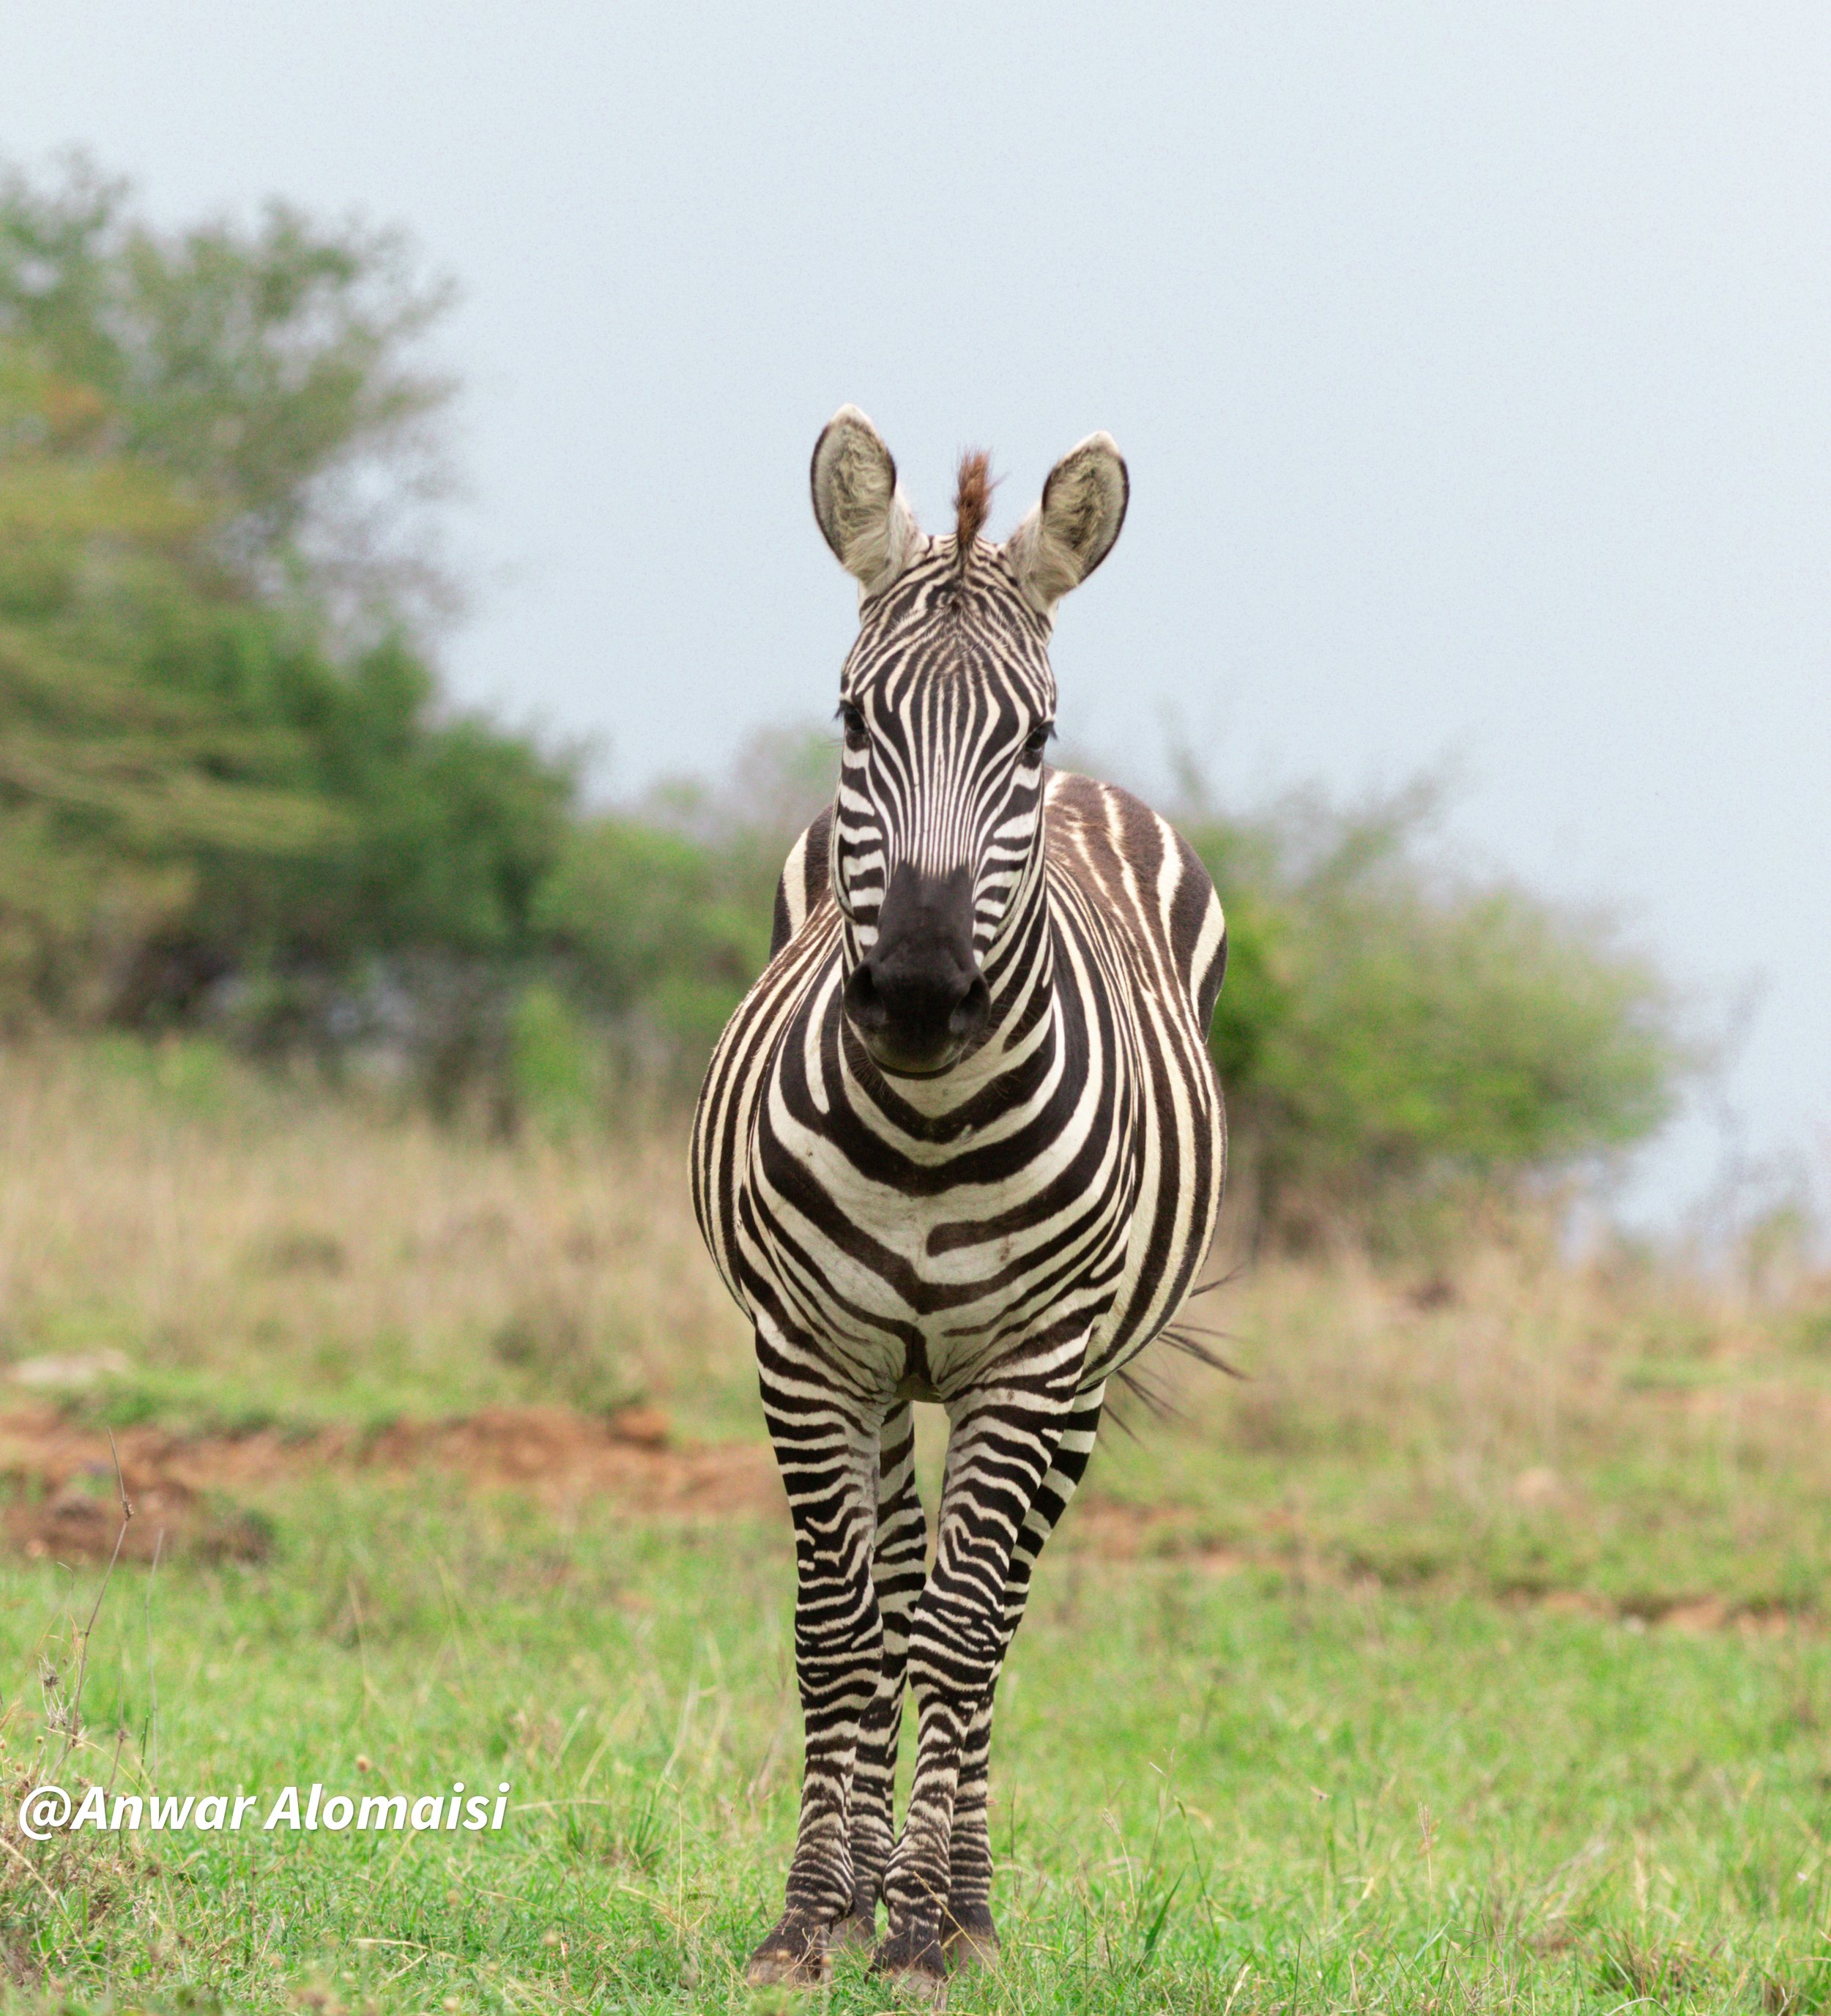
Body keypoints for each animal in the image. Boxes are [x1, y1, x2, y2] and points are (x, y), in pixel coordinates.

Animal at [691, 406, 1227, 2000]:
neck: (928, 1126)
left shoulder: (1032, 1364)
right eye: (853, 717)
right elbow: (839, 1633)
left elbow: (962, 1632)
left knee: (984, 1621)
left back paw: (966, 1903)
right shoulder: (806, 1352)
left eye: (1029, 735)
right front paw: (814, 1913)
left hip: (1074, 1382)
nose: (923, 994)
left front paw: (925, 1929)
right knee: (888, 1606)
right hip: (882, 1376)